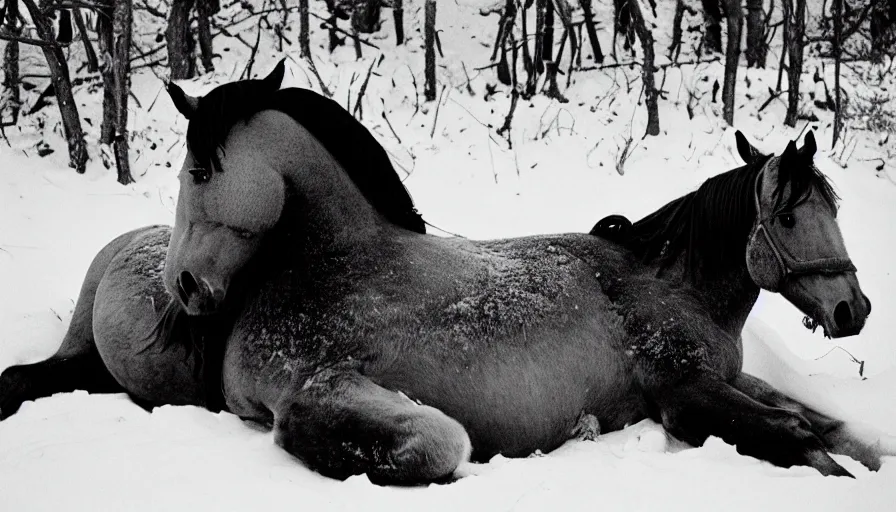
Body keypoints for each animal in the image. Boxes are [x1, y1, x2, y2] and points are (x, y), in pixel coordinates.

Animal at [0, 61, 888, 484]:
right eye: (792, 215)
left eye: (201, 170)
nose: (854, 309)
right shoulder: (688, 394)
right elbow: (440, 444)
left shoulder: (718, 383)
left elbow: (830, 429)